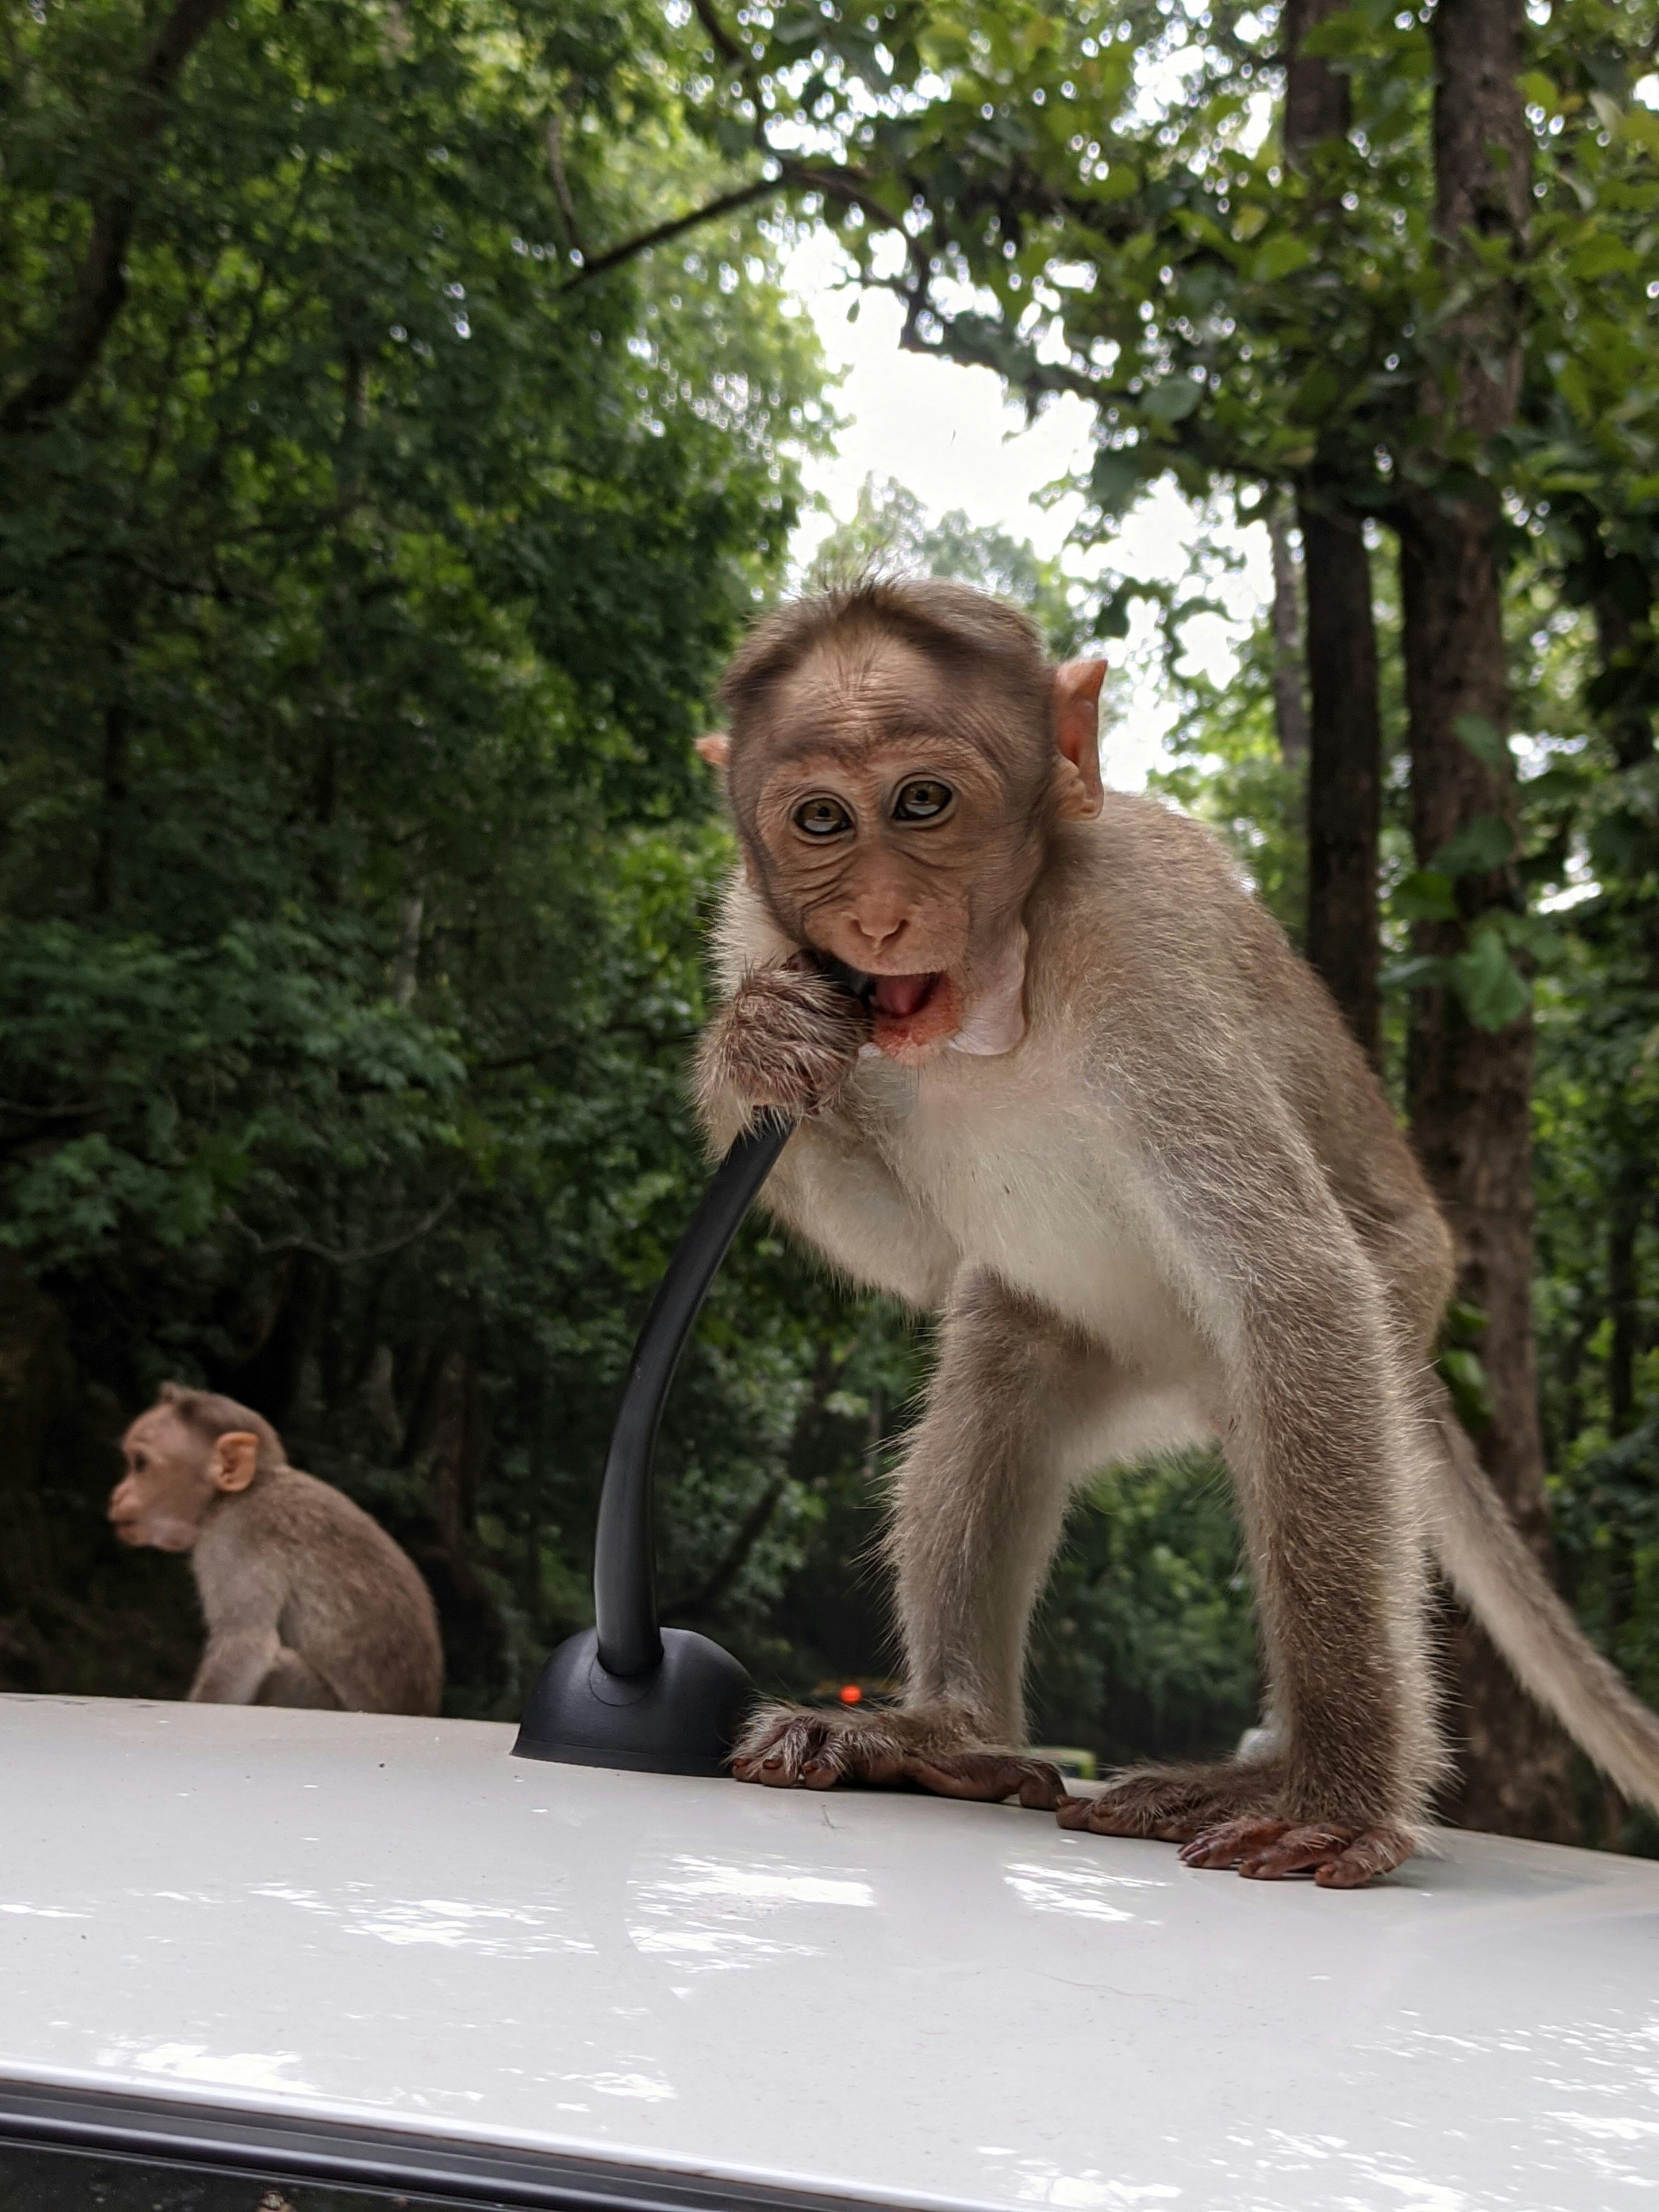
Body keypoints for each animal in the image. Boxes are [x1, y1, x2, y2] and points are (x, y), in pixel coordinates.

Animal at [109, 1371, 449, 1717]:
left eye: (140, 1464)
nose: (117, 1496)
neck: (240, 1492)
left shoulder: (233, 1539)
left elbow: (246, 1644)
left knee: (282, 1665)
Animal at [690, 580, 1659, 1893]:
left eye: (925, 802)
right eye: (822, 819)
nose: (882, 920)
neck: (1004, 991)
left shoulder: (1141, 954)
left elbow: (1295, 1285)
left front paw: (1339, 1798)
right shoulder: (755, 931)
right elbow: (917, 1251)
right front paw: (752, 1049)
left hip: (1365, 1312)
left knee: (1297, 1377)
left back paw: (1277, 1764)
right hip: (1123, 1351)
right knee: (1003, 1356)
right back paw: (947, 1736)